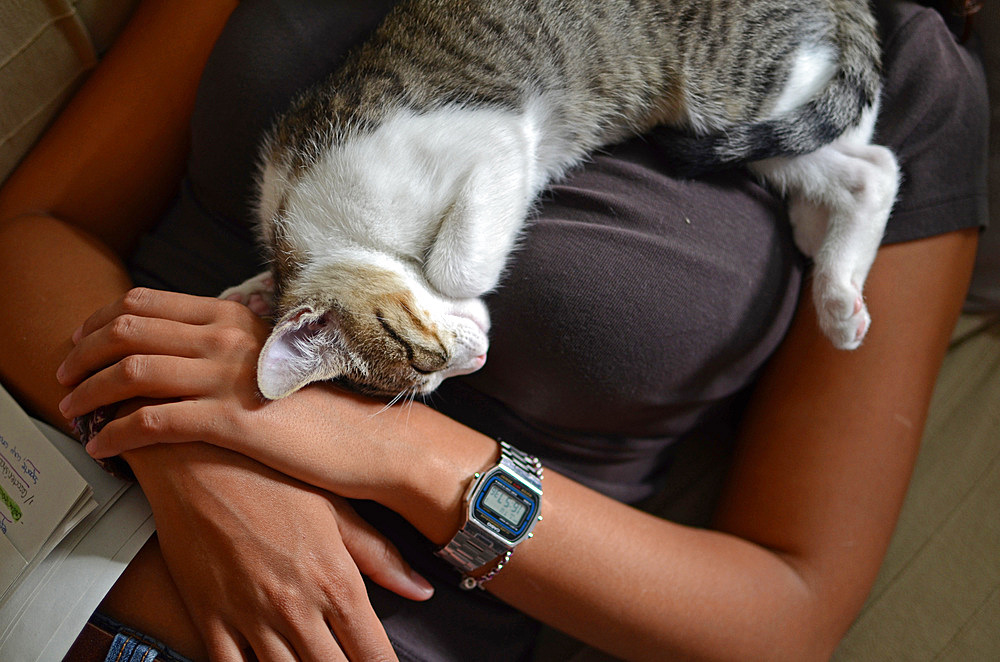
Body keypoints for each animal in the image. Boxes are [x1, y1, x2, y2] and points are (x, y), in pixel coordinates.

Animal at [225, 0, 900, 400]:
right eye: (432, 380)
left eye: (424, 359)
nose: (475, 362)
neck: (307, 223)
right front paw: (251, 290)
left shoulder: (492, 137)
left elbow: (456, 263)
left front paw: (461, 284)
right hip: (751, 120)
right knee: (857, 158)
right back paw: (830, 274)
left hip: (728, 89)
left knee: (874, 158)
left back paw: (836, 287)